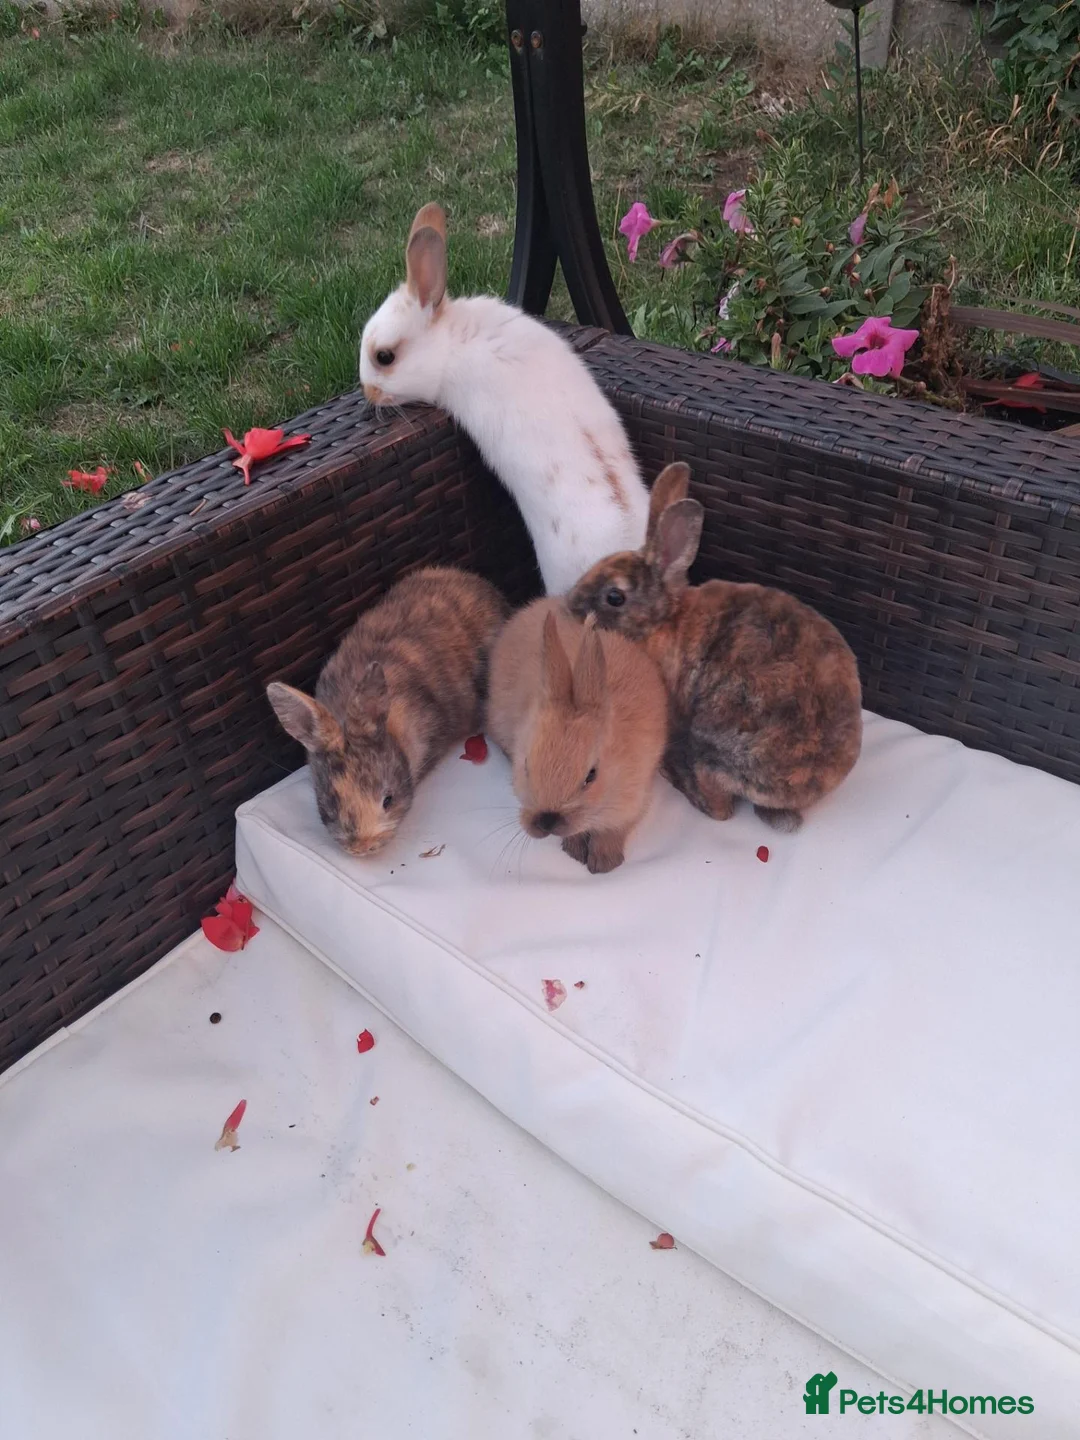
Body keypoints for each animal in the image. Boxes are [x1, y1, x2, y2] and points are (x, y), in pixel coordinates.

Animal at [487, 598, 667, 874]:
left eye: (591, 776)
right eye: (526, 766)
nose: (547, 821)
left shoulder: (634, 800)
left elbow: (613, 831)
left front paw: (603, 863)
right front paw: (575, 852)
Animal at [566, 463, 863, 833]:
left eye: (614, 597)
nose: (569, 605)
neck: (663, 622)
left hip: (715, 746)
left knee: (719, 808)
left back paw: (677, 777)